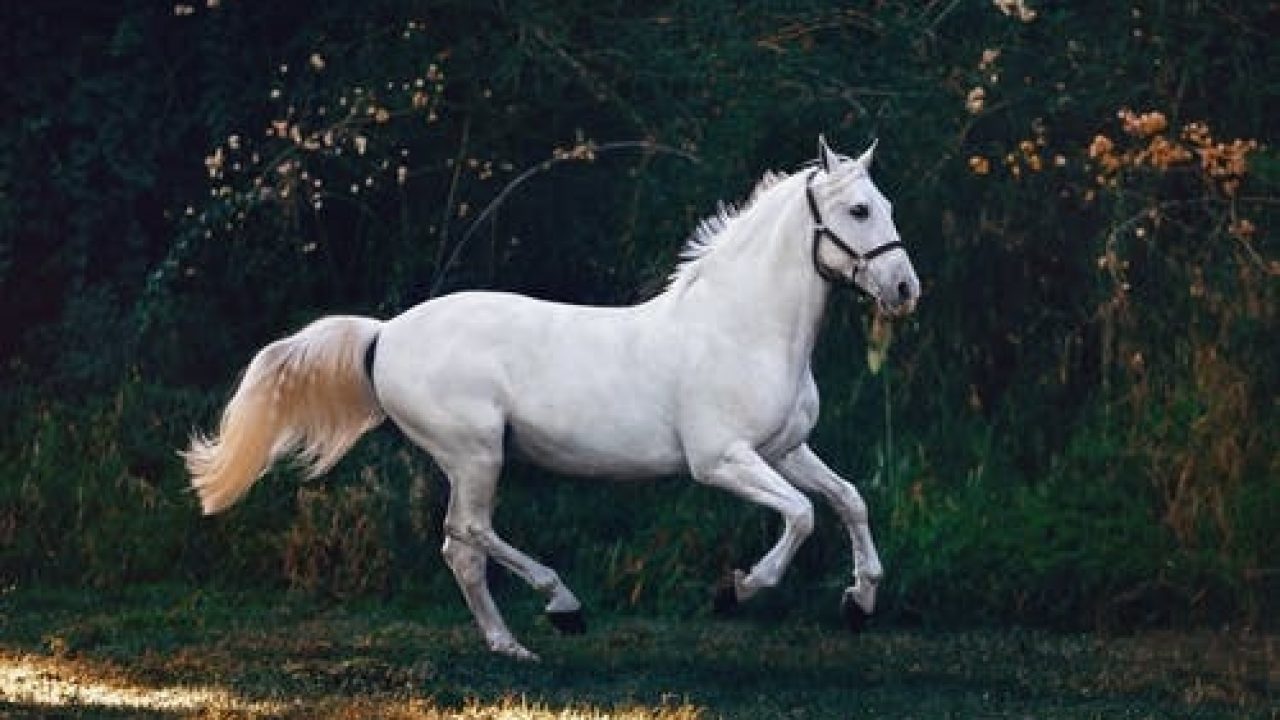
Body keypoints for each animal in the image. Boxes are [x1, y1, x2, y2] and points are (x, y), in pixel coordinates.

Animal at [183, 134, 921, 655]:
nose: (905, 289)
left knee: (460, 548)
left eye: (888, 207)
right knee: (468, 532)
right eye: (858, 209)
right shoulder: (721, 460)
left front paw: (860, 603)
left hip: (472, 459)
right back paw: (562, 607)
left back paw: (511, 646)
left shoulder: (785, 449)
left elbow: (848, 500)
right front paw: (737, 591)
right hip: (476, 453)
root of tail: (384, 333)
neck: (741, 327)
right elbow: (801, 514)